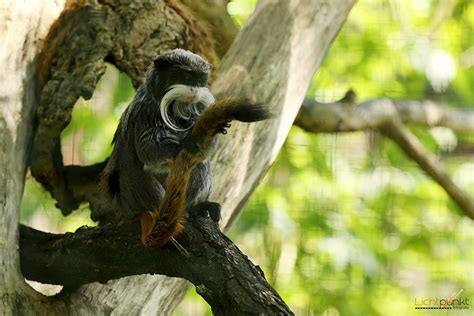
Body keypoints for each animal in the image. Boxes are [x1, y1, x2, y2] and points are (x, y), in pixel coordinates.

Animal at [100, 48, 268, 247]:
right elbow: (146, 148)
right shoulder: (146, 110)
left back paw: (195, 208)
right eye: (186, 76)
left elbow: (204, 151)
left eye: (199, 79)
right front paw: (185, 142)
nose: (194, 89)